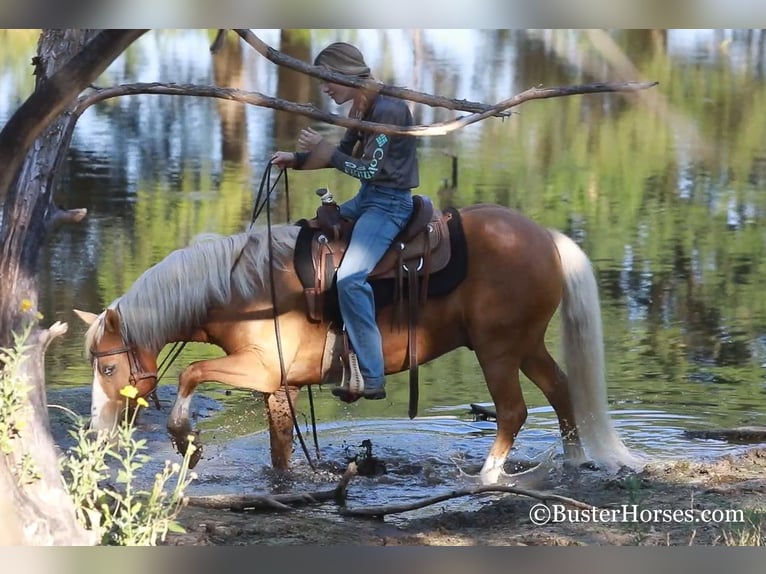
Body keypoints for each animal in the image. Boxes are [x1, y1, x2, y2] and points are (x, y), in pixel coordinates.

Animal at [76, 205, 640, 484]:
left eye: (107, 370)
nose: (97, 432)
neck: (243, 291)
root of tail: (546, 237)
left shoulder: (258, 369)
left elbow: (190, 373)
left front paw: (184, 441)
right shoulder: (278, 384)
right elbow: (281, 447)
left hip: (497, 350)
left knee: (513, 411)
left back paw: (487, 475)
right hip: (523, 345)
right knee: (561, 388)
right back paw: (573, 461)